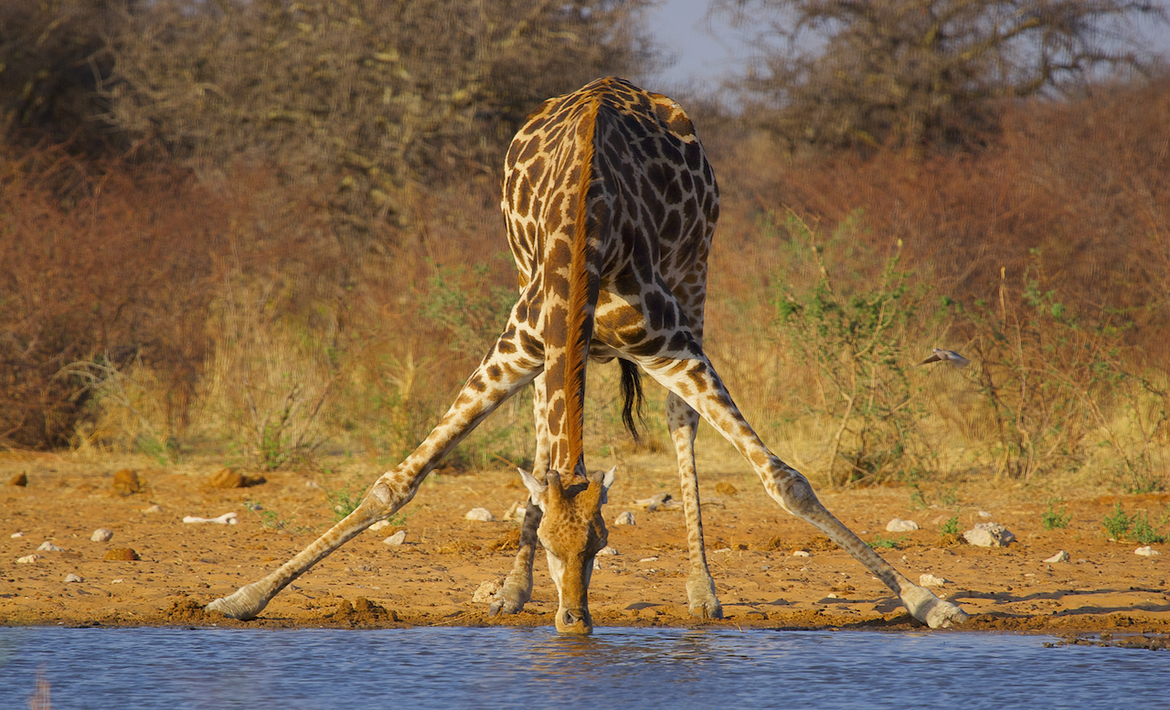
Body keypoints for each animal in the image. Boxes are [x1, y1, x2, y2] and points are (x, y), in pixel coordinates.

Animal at [206, 77, 969, 633]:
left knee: (679, 423)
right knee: (546, 439)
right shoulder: (521, 344)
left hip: (696, 278)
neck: (586, 232)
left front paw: (930, 601)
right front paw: (242, 597)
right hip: (542, 335)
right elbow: (396, 484)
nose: (575, 622)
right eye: (551, 544)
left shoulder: (669, 343)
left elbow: (785, 480)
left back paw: (701, 592)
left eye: (602, 543)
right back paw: (509, 593)